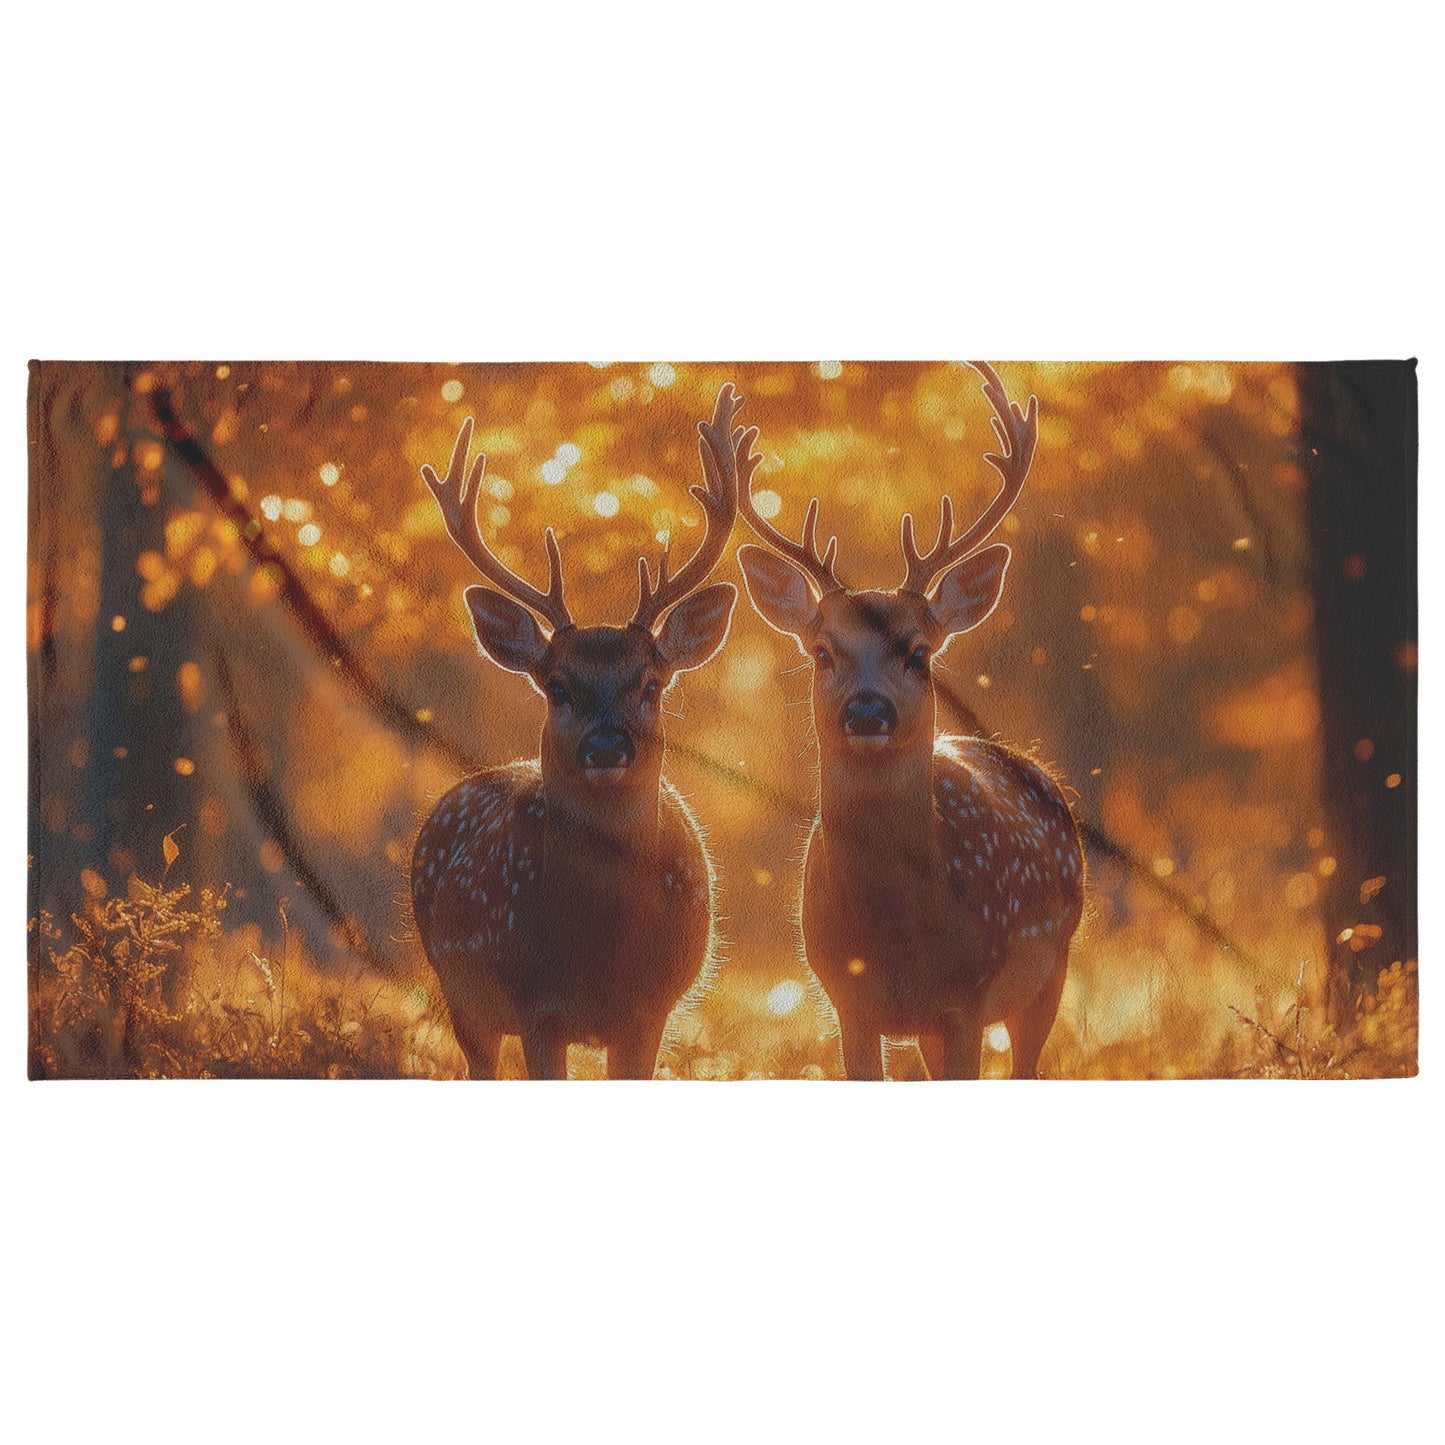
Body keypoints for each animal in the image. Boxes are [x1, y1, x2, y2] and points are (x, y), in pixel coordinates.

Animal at [411, 385, 758, 1079]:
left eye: (651, 684)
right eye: (558, 685)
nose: (605, 745)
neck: (600, 960)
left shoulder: (650, 1015)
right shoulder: (535, 1009)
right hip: (461, 995)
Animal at [736, 362, 1084, 1080]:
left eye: (917, 652)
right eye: (822, 651)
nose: (867, 709)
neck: (898, 941)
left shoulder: (966, 1000)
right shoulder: (848, 1004)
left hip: (1052, 969)